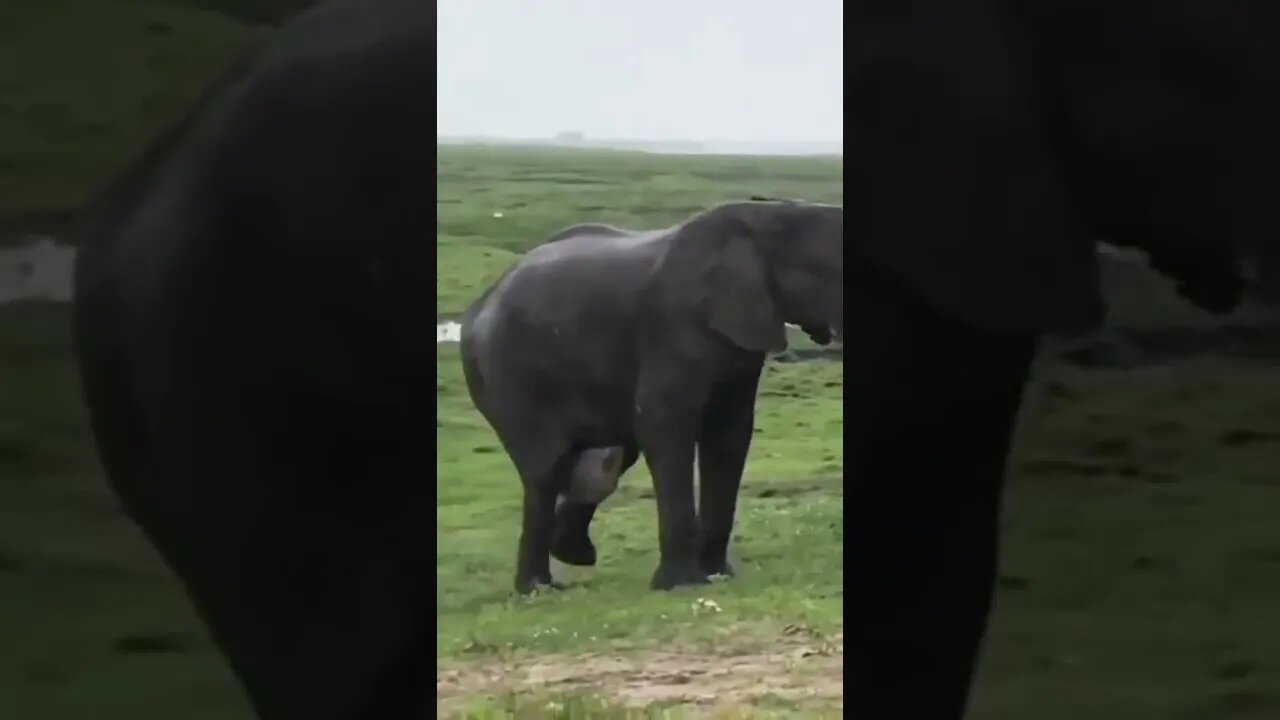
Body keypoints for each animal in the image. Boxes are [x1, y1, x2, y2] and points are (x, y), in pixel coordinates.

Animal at [459, 200, 843, 593]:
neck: (771, 216)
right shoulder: (675, 324)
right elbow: (665, 426)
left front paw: (718, 575)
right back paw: (538, 589)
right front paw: (683, 584)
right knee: (545, 473)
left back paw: (572, 554)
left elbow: (729, 435)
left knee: (603, 460)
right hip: (509, 378)